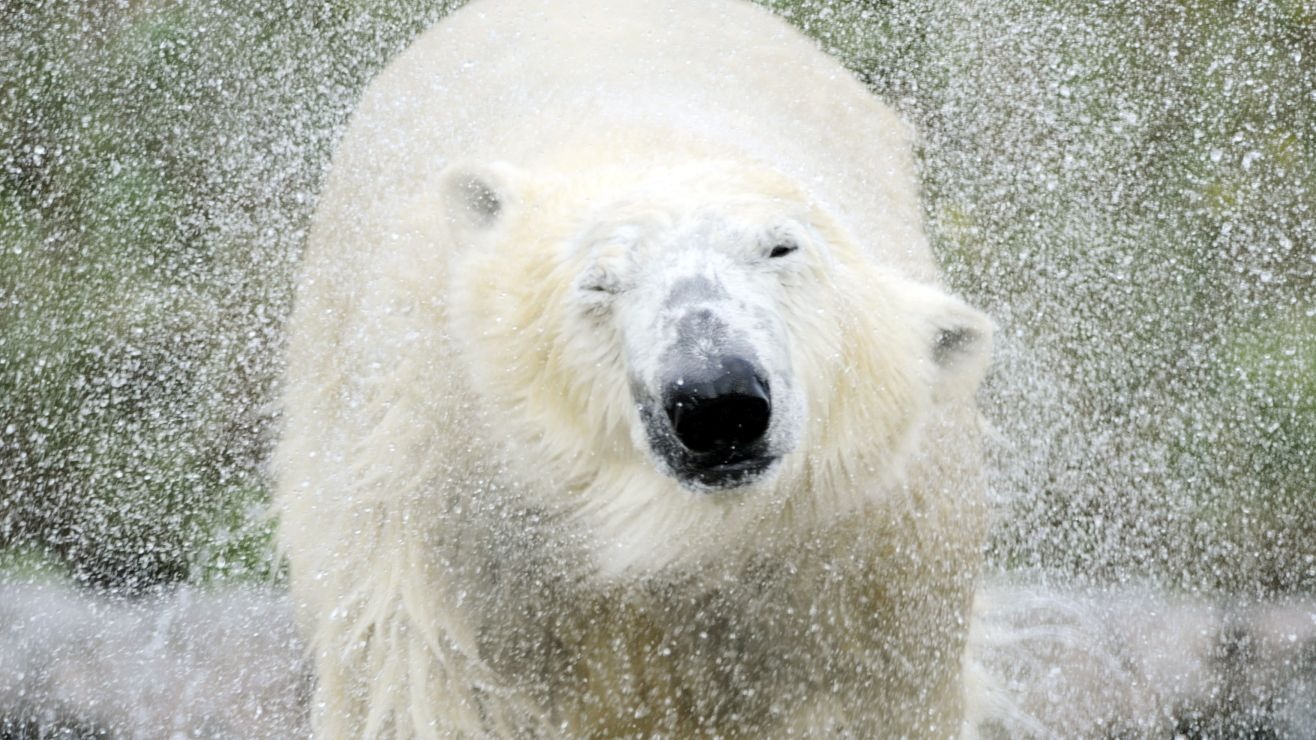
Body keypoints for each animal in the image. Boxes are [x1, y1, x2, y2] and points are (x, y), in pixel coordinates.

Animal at [277, 0, 989, 732]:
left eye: (782, 248)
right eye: (598, 283)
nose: (716, 399)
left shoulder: (860, 572)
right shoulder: (450, 525)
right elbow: (430, 689)